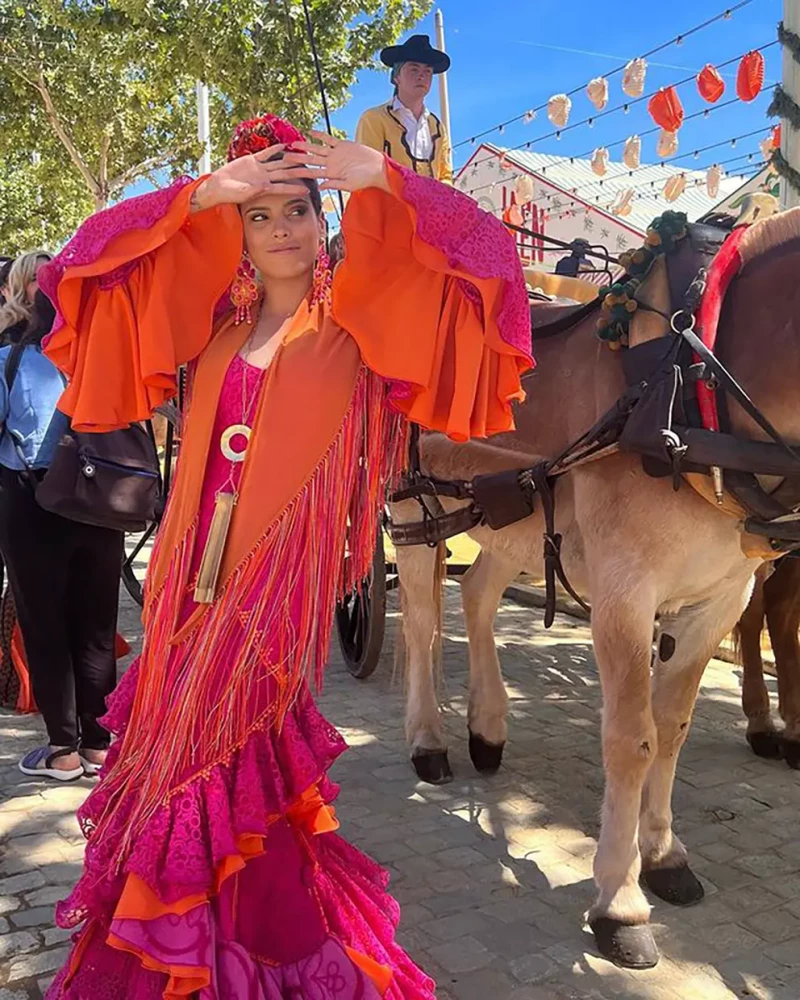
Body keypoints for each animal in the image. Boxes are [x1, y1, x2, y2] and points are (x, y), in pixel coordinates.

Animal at [390, 209, 800, 968]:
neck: (692, 382)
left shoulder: (718, 601)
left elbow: (672, 730)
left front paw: (663, 854)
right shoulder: (624, 595)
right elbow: (632, 740)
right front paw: (620, 901)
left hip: (512, 514)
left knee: (479, 595)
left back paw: (487, 726)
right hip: (412, 507)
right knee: (424, 621)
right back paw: (429, 740)